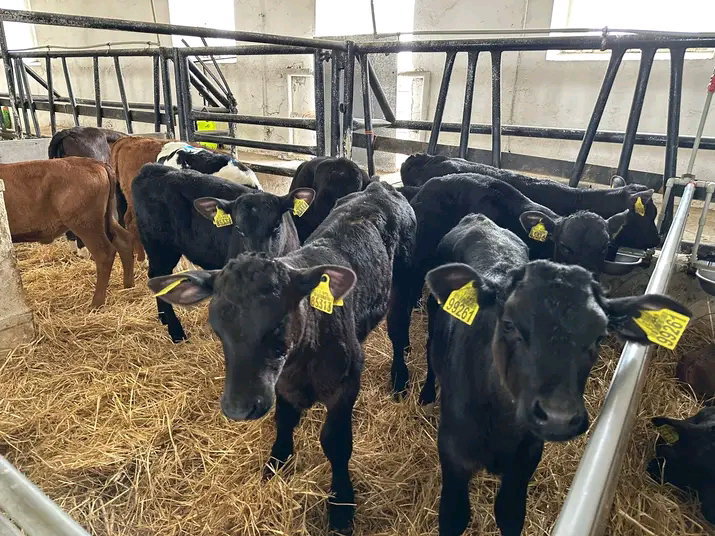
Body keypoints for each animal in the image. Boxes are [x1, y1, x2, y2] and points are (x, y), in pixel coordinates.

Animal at [3, 157, 134, 308]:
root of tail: (96, 163)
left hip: (86, 224)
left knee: (104, 253)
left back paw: (96, 303)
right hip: (107, 218)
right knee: (124, 240)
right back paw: (128, 285)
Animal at [132, 164, 314, 342]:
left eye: (276, 225)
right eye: (238, 229)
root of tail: (151, 168)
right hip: (160, 247)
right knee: (157, 274)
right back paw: (175, 330)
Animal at [146, 181, 416, 534]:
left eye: (279, 322)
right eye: (216, 327)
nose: (239, 407)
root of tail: (378, 186)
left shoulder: (345, 383)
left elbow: (336, 443)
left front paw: (341, 506)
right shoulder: (281, 386)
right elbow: (284, 421)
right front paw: (276, 463)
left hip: (405, 281)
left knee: (398, 330)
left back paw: (399, 379)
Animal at [425, 213, 691, 536]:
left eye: (600, 335)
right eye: (509, 324)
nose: (558, 416)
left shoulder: (526, 460)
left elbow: (510, 513)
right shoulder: (453, 455)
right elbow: (454, 516)